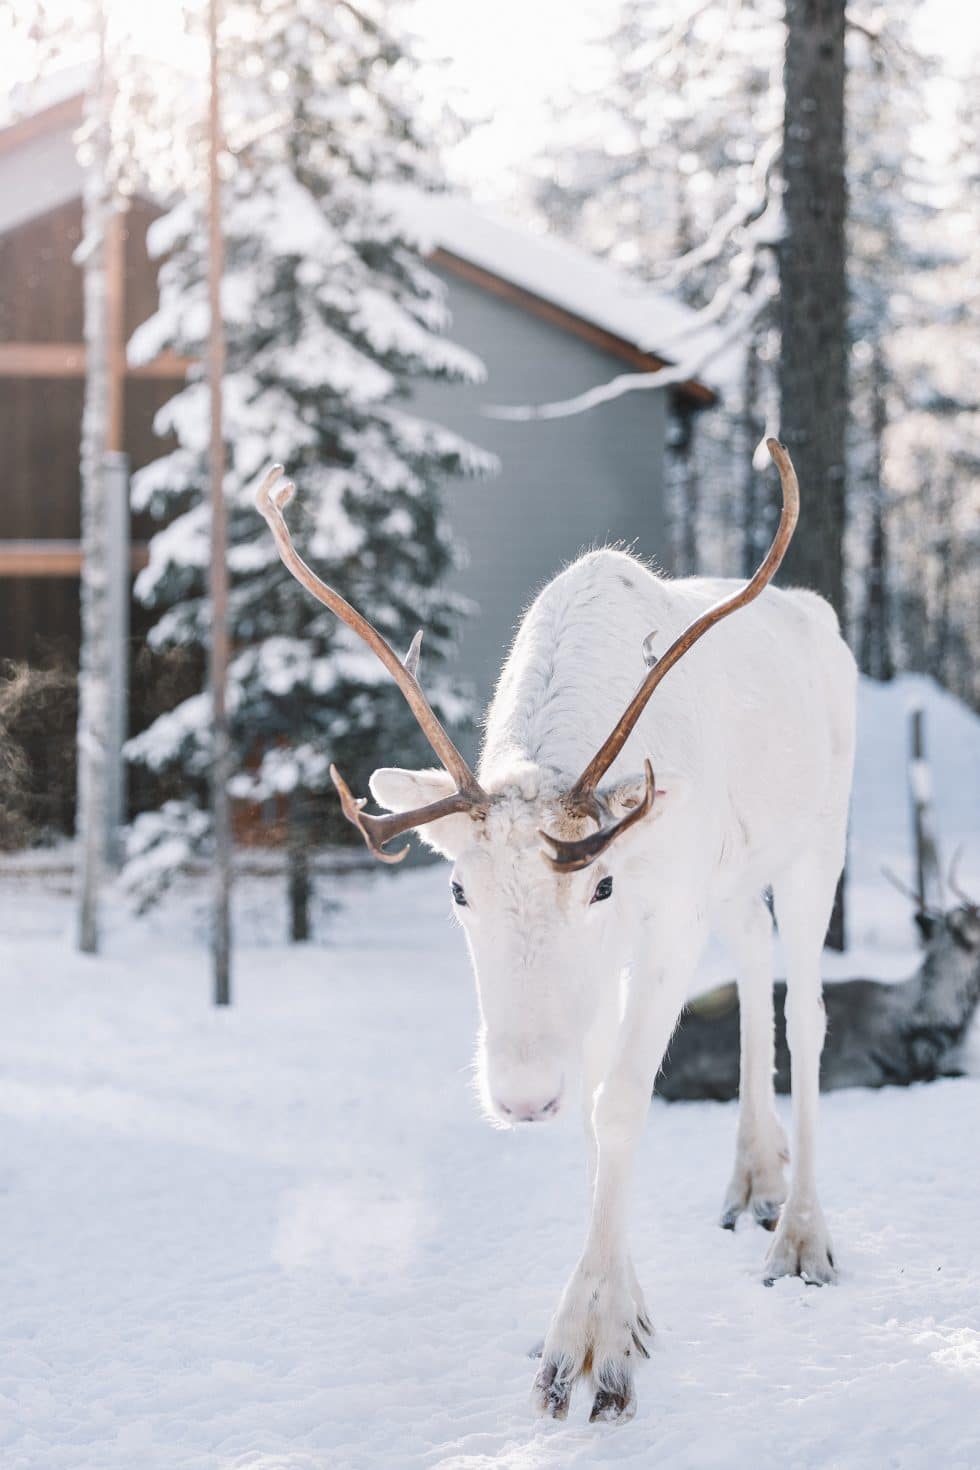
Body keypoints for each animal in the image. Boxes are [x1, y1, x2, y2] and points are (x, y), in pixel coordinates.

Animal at [256, 439, 857, 1425]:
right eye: (457, 889)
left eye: (603, 882)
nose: (521, 1095)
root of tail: (825, 623)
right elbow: (595, 1111)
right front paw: (626, 1314)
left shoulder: (667, 917)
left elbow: (619, 1102)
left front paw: (591, 1350)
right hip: (736, 881)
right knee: (753, 969)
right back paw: (754, 1182)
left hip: (816, 846)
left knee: (806, 1016)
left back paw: (803, 1235)